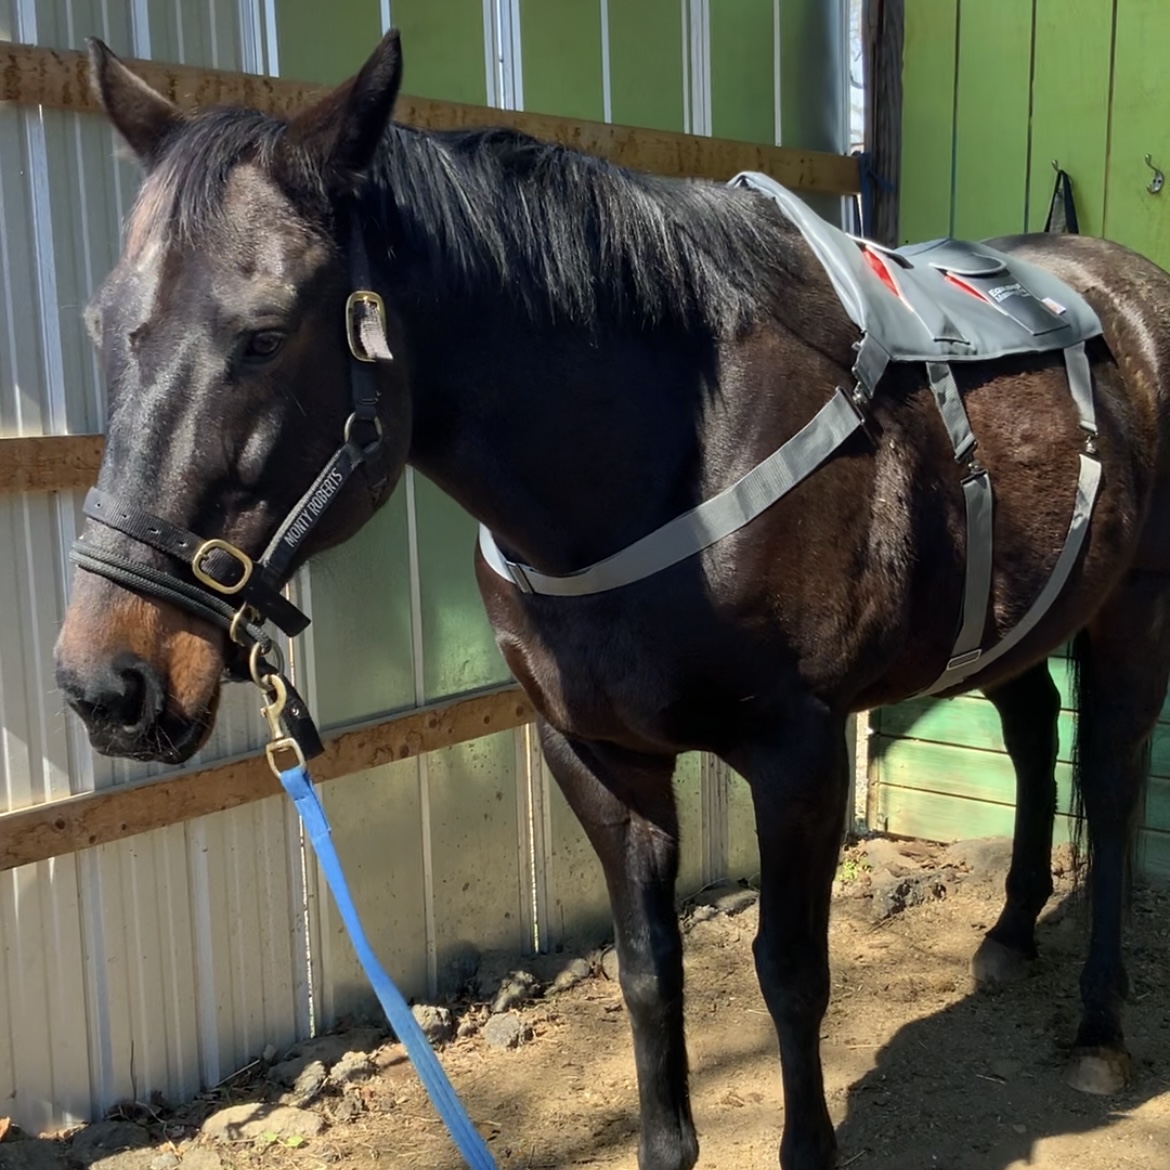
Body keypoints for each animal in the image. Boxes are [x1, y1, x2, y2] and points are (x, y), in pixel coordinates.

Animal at [54, 32, 1170, 1165]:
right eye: (100, 325)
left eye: (267, 334)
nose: (108, 684)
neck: (675, 452)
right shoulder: (594, 755)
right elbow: (647, 971)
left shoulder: (800, 759)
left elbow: (791, 974)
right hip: (1012, 627)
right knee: (1033, 732)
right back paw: (1011, 932)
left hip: (1133, 617)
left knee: (1113, 786)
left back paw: (1100, 1025)